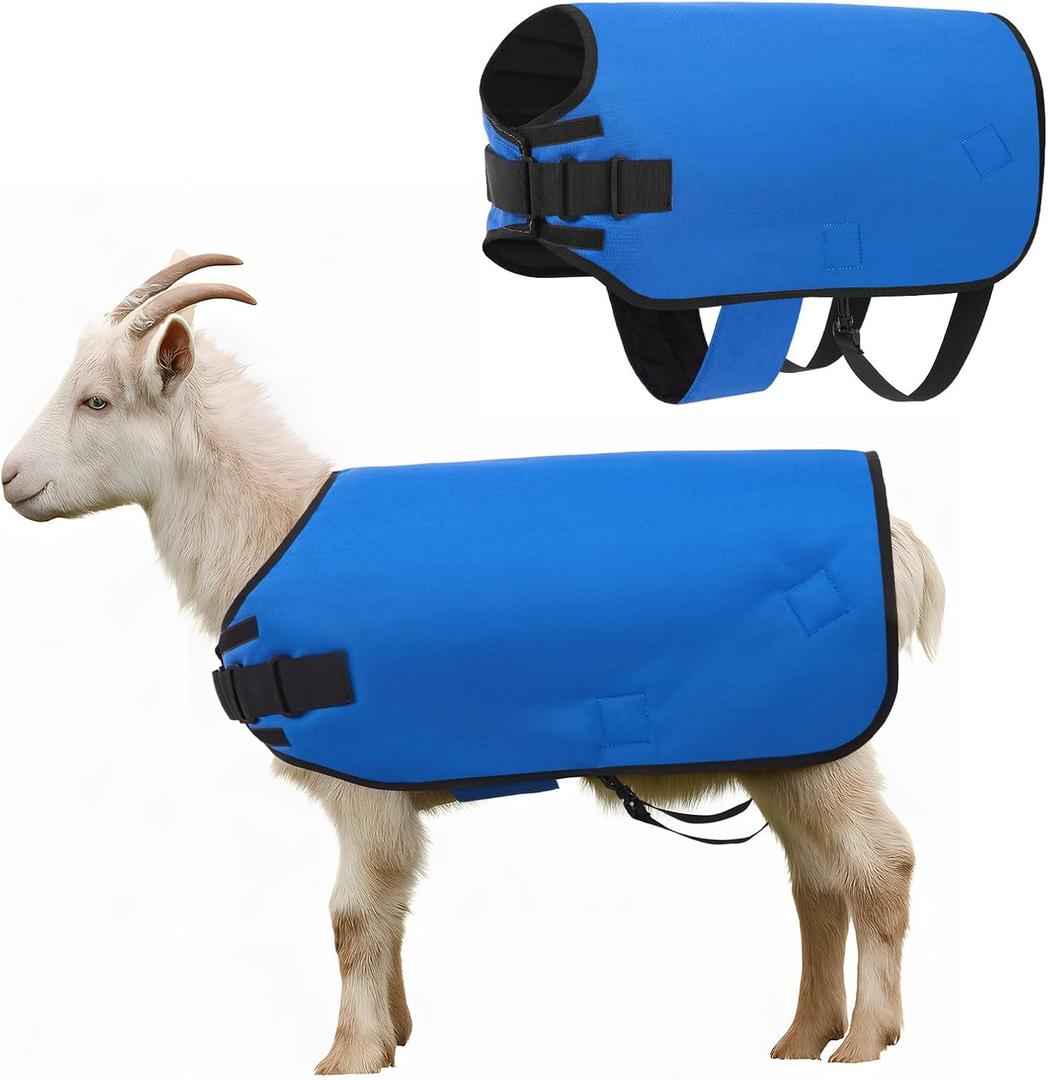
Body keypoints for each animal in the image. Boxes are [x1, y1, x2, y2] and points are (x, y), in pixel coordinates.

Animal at [2, 253, 944, 1073]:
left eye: (95, 400)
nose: (12, 479)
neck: (273, 534)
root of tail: (903, 542)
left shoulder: (363, 790)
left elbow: (352, 917)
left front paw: (348, 1055)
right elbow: (390, 912)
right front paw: (396, 1033)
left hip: (826, 749)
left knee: (881, 865)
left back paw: (866, 1039)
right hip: (788, 751)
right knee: (816, 882)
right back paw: (801, 1037)